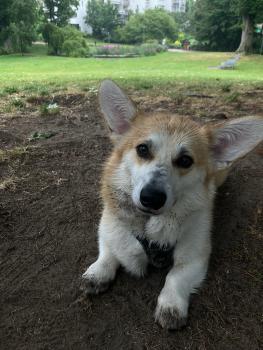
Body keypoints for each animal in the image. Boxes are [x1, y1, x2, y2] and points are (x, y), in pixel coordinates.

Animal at [81, 80, 263, 330]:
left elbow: (175, 277)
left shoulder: (195, 256)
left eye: (185, 160)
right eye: (142, 149)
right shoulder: (109, 231)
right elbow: (108, 252)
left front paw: (171, 306)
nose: (151, 197)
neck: (149, 227)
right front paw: (98, 272)